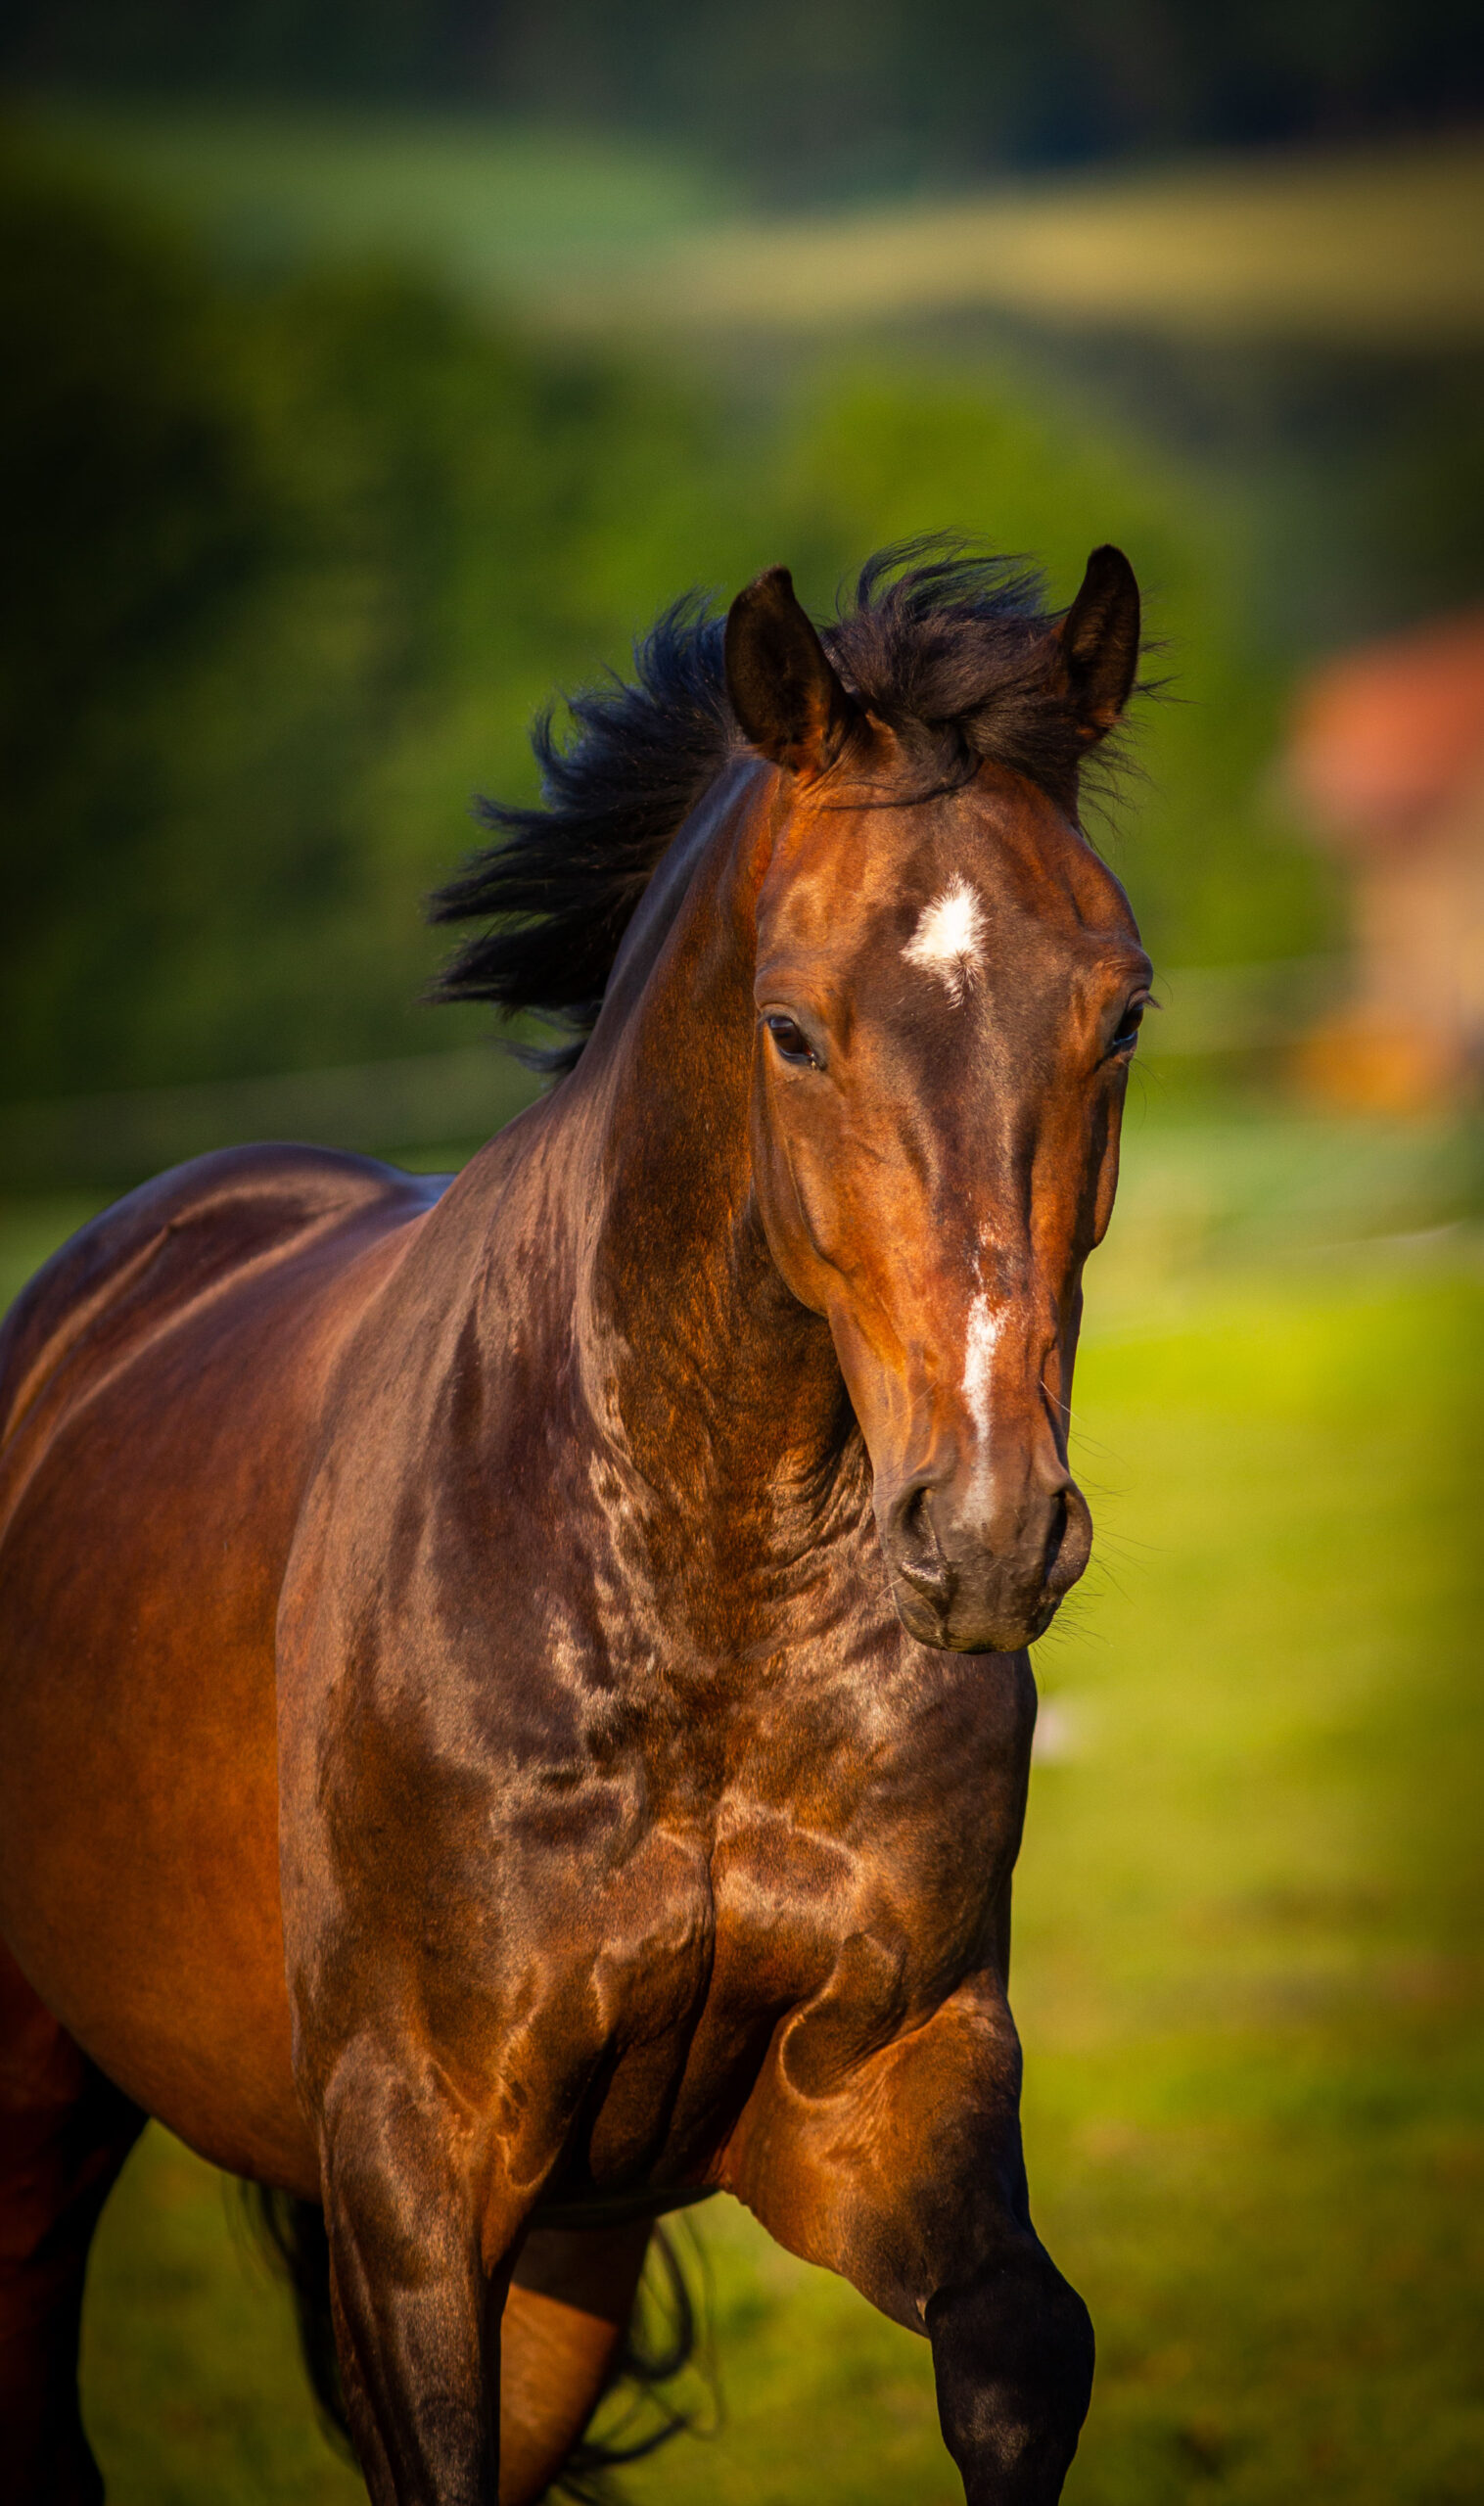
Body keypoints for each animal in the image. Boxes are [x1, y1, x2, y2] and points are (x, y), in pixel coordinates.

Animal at [0, 543, 1147, 2506]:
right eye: (791, 1029)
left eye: (1122, 1011)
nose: (990, 1534)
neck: (691, 1605)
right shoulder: (417, 2162)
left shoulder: (872, 2085)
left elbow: (1023, 2363)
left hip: (571, 2263)